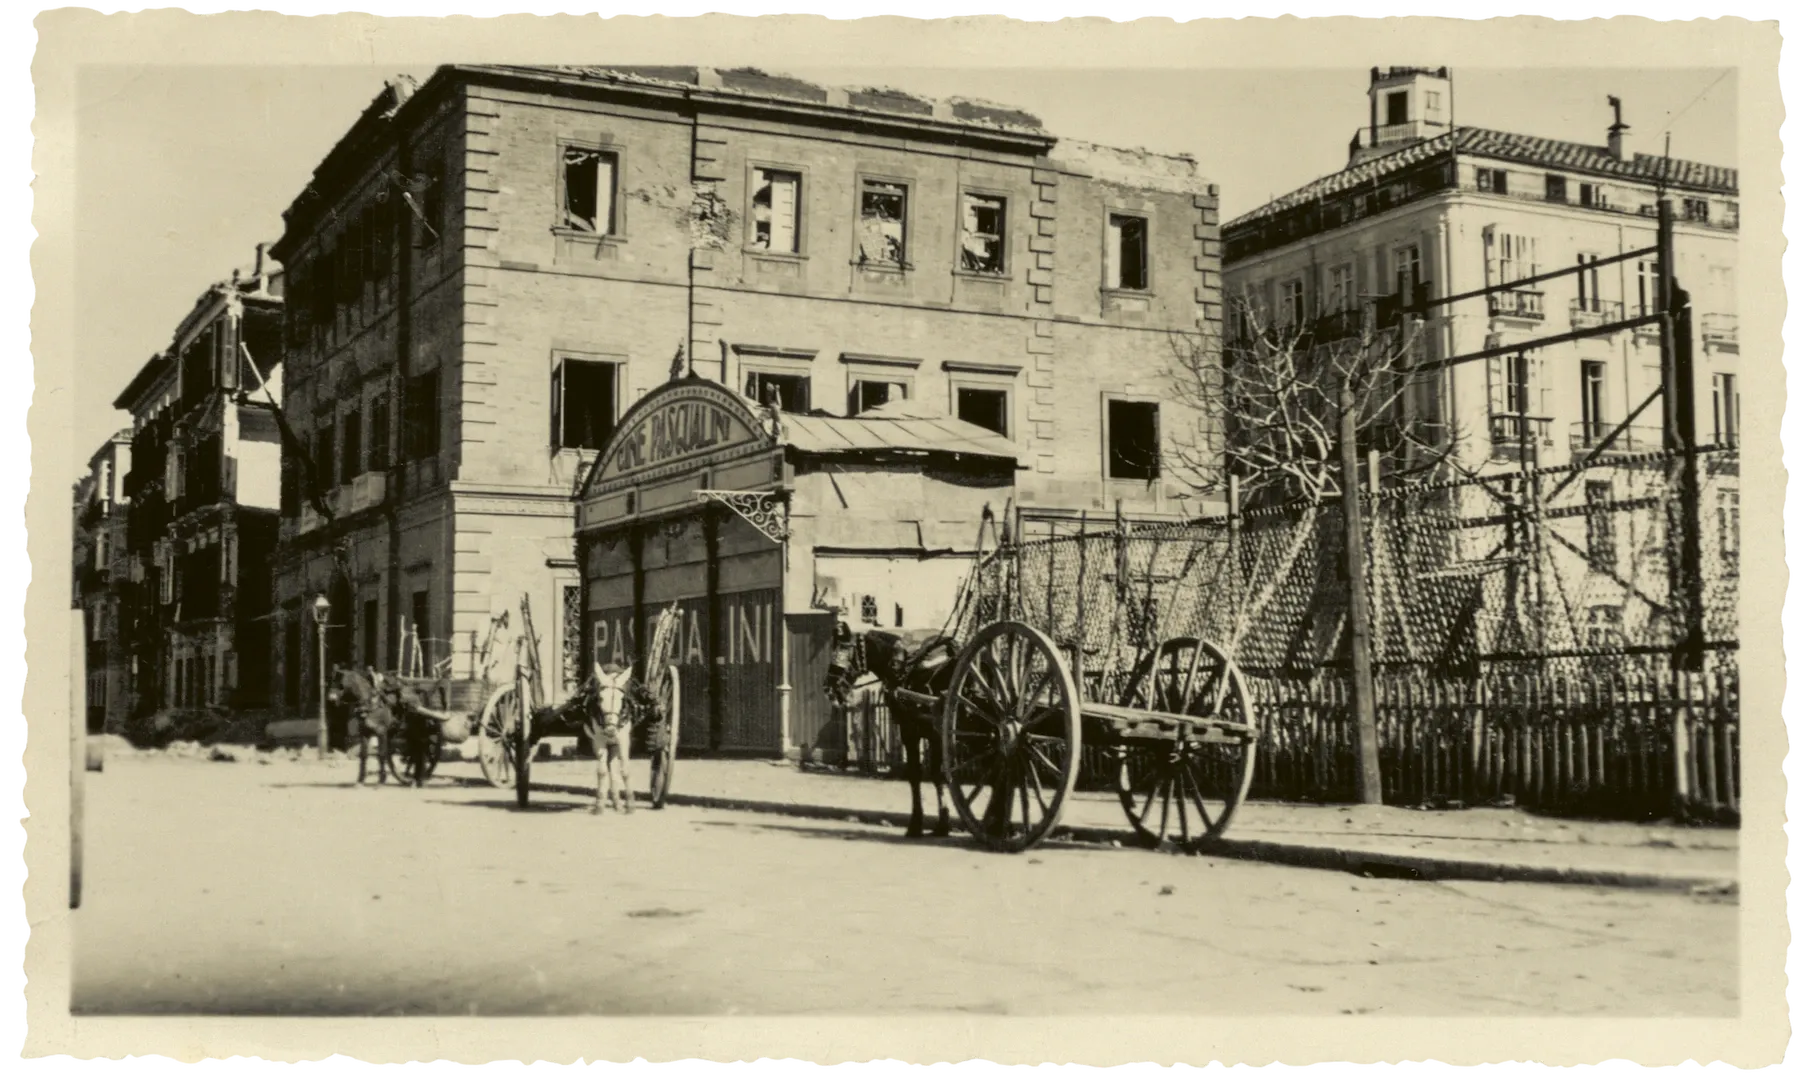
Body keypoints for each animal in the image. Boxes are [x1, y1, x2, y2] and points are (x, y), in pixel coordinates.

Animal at [820, 618, 961, 839]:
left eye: (843, 652)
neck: (902, 670)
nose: (829, 688)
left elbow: (916, 774)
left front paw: (916, 824)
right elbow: (938, 776)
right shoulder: (936, 735)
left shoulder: (911, 732)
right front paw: (942, 824)